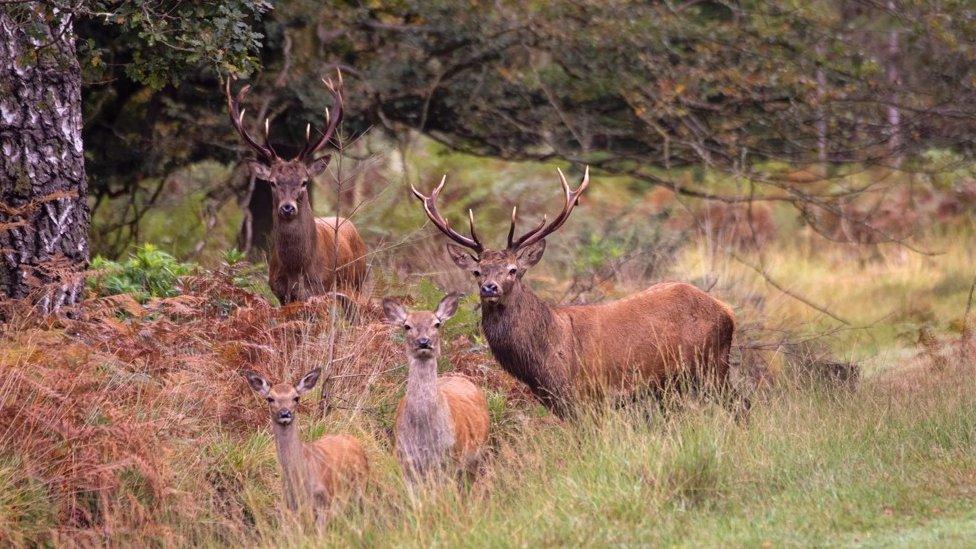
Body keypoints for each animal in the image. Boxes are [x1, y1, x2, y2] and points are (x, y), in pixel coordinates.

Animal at [225, 71, 366, 304]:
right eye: (272, 182)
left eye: (304, 181)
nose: (288, 207)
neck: (297, 269)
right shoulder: (280, 293)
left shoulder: (321, 289)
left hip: (359, 282)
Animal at [242, 368, 368, 524]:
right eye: (270, 398)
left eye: (296, 398)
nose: (285, 413)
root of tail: (355, 441)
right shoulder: (291, 505)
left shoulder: (324, 501)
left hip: (360, 485)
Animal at [382, 294, 488, 482]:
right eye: (407, 325)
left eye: (437, 323)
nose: (424, 342)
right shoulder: (404, 459)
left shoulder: (451, 459)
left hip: (477, 452)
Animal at [408, 167, 736, 416]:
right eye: (477, 272)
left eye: (513, 270)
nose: (490, 287)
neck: (544, 356)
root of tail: (727, 311)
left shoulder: (588, 395)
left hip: (712, 368)